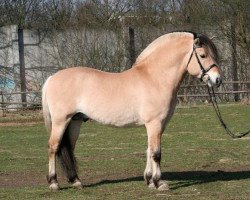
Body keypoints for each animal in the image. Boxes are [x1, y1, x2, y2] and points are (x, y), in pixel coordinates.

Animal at [42, 31, 222, 191]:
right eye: (203, 55)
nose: (217, 80)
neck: (155, 78)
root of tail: (52, 78)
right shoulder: (154, 123)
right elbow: (156, 153)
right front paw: (159, 183)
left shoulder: (159, 125)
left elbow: (149, 150)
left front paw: (149, 181)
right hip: (60, 121)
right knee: (53, 147)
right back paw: (53, 183)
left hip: (75, 122)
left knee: (69, 149)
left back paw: (76, 181)